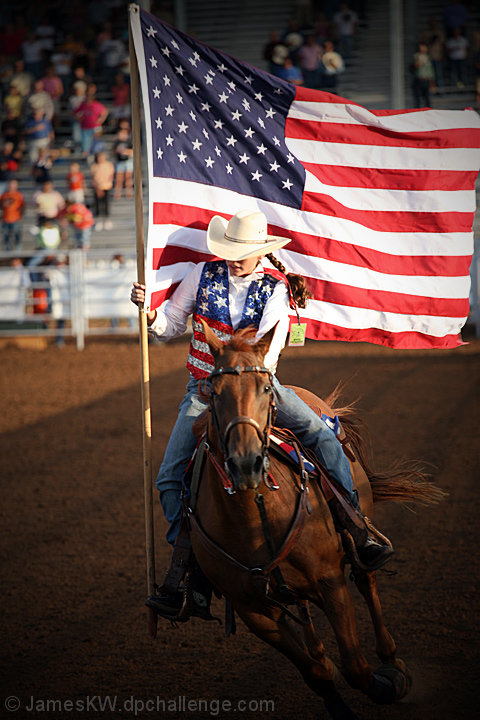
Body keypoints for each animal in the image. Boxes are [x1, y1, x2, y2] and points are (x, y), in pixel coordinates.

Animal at [189, 324, 444, 716]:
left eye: (265, 389)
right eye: (214, 394)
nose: (245, 463)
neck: (254, 518)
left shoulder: (329, 580)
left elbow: (356, 667)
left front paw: (389, 684)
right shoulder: (254, 611)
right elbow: (317, 674)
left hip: (358, 533)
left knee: (366, 579)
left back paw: (391, 660)